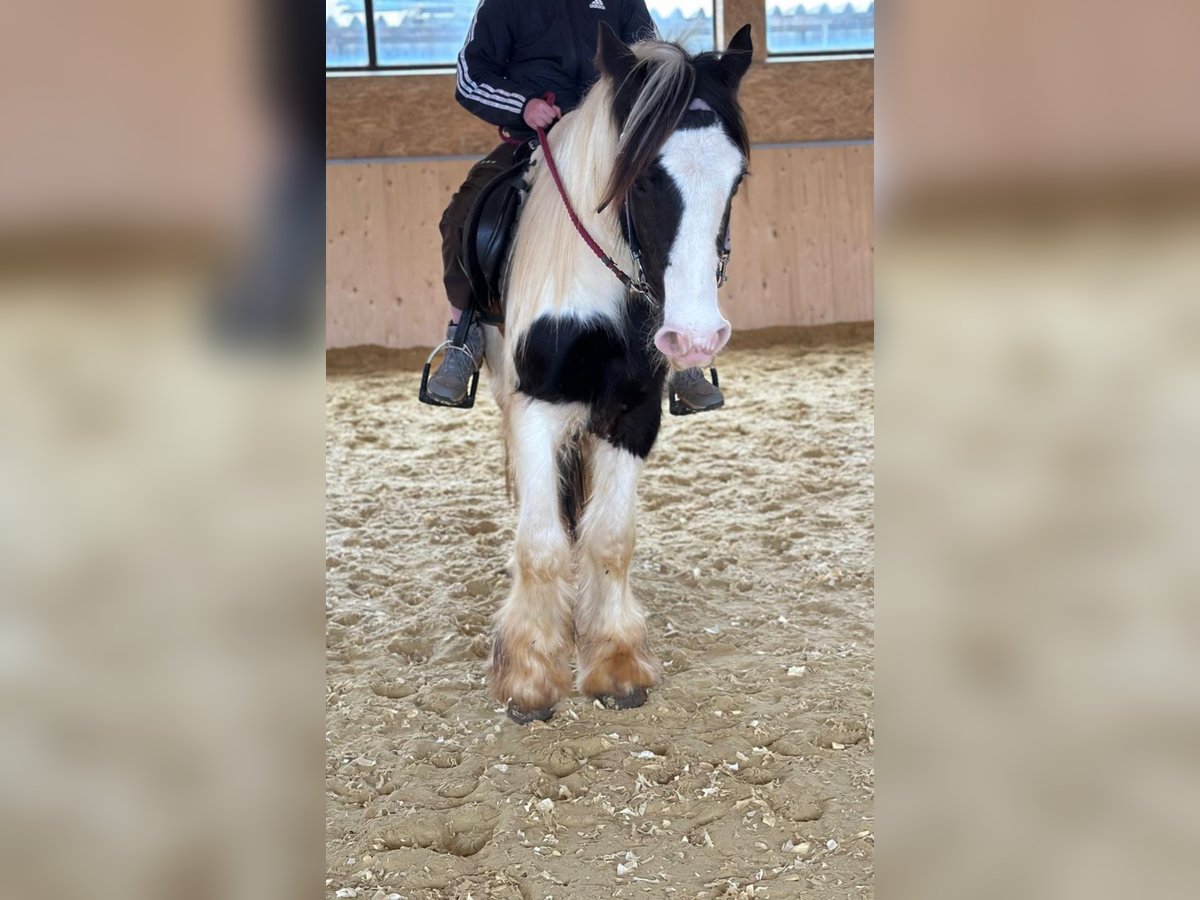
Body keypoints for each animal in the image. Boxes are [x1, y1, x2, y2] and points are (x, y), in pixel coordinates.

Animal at [480, 21, 748, 724]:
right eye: (647, 177)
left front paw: (617, 662)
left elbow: (609, 537)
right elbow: (541, 543)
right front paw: (529, 675)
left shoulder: (632, 413)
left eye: (736, 179)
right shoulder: (536, 410)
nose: (696, 337)